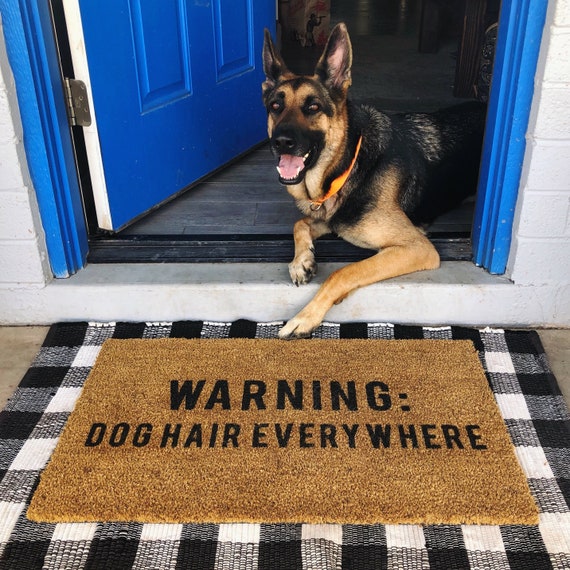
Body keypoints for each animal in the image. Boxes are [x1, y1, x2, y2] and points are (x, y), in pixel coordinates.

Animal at [262, 23, 484, 338]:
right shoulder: (332, 219)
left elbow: (344, 271)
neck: (348, 165)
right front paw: (300, 261)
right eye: (275, 106)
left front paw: (306, 316)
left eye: (313, 107)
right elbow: (300, 223)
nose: (280, 142)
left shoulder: (417, 248)